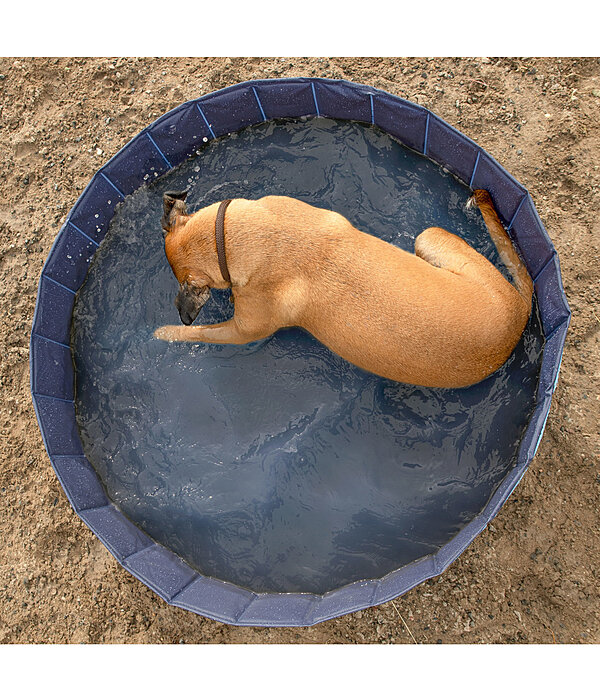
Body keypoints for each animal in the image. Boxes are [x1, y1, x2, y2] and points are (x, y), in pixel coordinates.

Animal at [154, 189, 528, 388]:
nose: (182, 313)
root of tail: (521, 314)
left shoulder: (241, 331)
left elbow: (200, 333)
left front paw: (164, 332)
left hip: (428, 234)